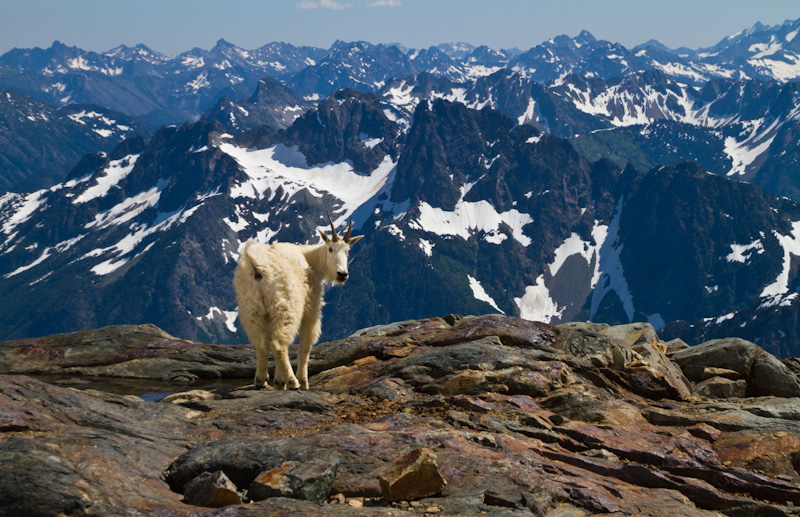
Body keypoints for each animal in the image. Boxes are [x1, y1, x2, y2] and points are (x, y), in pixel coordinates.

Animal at [233, 216, 364, 390]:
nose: (342, 274)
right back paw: (293, 382)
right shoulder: (311, 307)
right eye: (330, 249)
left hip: (250, 307)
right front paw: (302, 381)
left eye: (348, 251)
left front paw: (279, 381)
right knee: (279, 344)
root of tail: (256, 265)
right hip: (286, 305)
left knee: (261, 342)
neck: (310, 260)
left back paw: (261, 380)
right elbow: (306, 342)